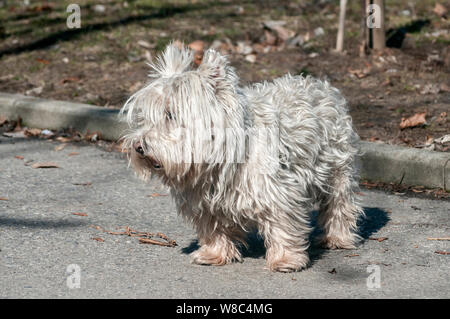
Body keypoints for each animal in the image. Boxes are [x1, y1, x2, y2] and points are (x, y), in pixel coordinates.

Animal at [120, 43, 362, 272]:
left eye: (170, 115)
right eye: (144, 117)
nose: (139, 147)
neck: (225, 157)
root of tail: (320, 85)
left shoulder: (278, 192)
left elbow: (282, 224)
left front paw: (285, 259)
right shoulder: (205, 200)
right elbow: (213, 227)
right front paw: (214, 253)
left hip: (337, 167)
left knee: (339, 203)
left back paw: (337, 237)